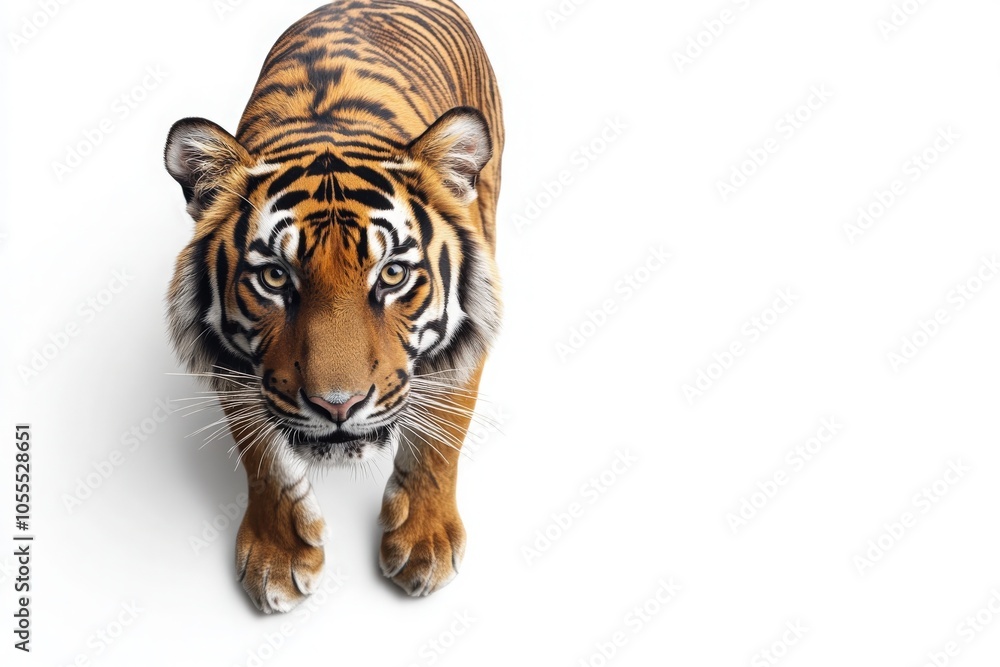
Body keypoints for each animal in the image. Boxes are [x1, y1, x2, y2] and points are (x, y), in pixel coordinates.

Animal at [163, 0, 503, 613]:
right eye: (276, 276)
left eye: (391, 274)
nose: (338, 406)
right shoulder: (234, 364)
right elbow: (263, 457)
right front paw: (279, 557)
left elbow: (443, 433)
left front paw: (425, 545)